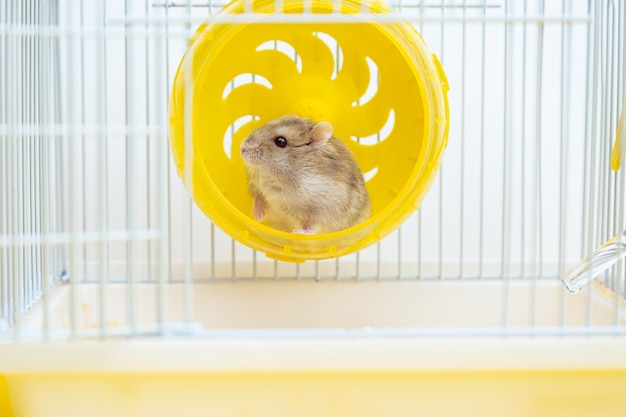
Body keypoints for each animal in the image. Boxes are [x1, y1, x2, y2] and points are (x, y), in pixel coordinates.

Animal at [240, 115, 370, 234]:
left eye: (281, 141)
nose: (242, 148)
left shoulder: (325, 209)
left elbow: (312, 226)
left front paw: (297, 232)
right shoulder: (257, 184)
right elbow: (259, 196)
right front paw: (257, 216)